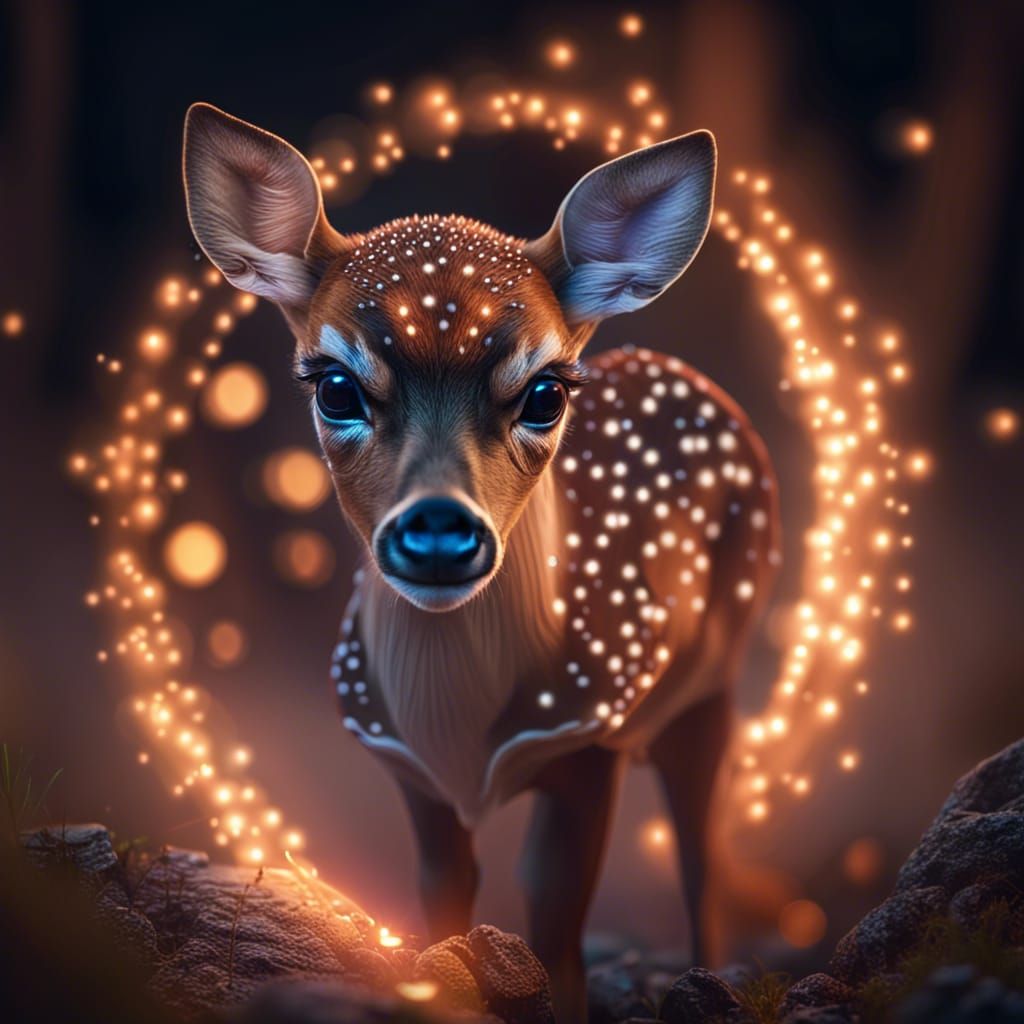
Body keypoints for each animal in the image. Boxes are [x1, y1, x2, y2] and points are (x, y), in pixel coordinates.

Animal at [183, 103, 780, 1023]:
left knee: (700, 851)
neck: (458, 728)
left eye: (545, 392)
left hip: (710, 679)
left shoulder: (589, 739)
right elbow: (443, 896)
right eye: (335, 386)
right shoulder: (412, 774)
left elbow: (555, 909)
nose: (437, 530)